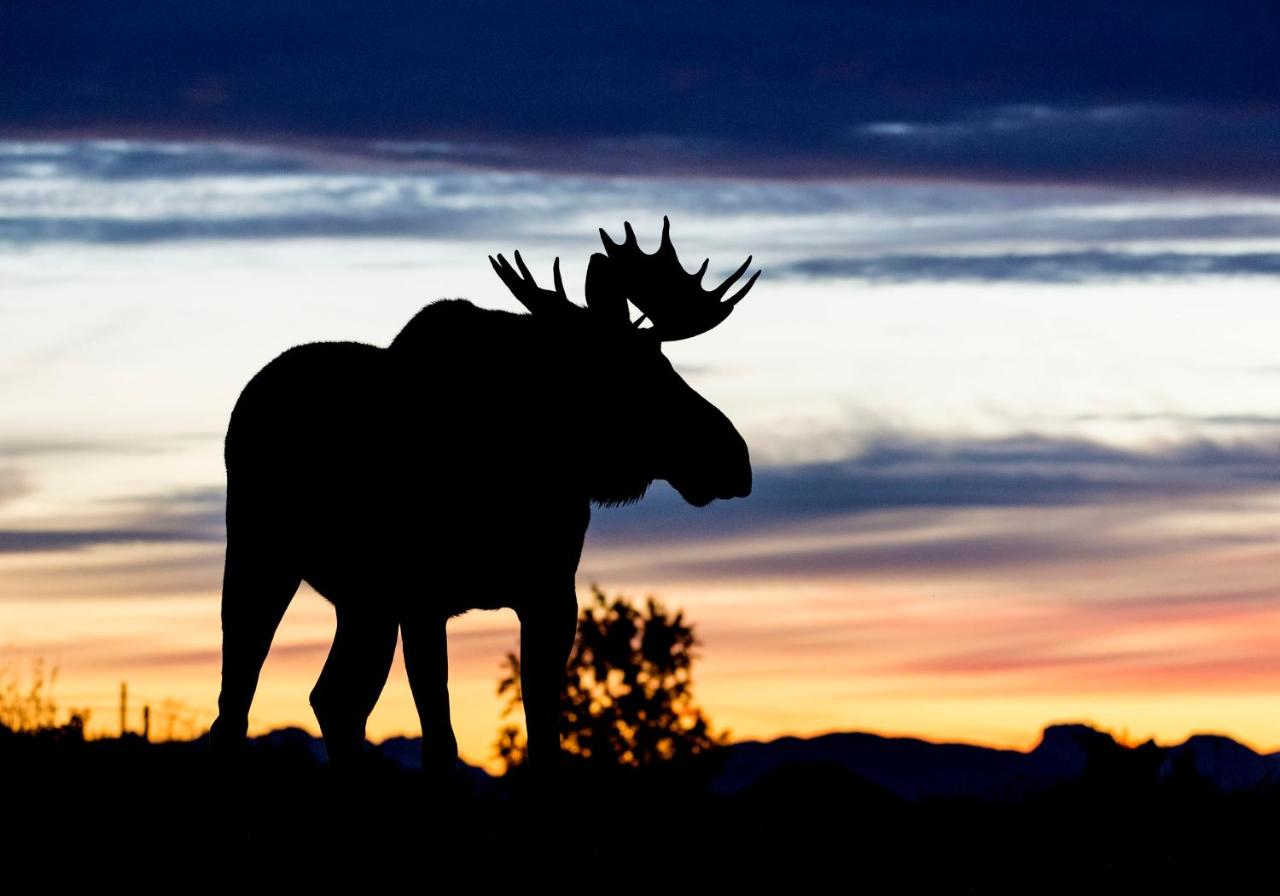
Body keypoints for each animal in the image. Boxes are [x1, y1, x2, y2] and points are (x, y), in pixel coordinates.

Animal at [204, 217, 752, 768]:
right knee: (236, 704)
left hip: (364, 602)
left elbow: (545, 740)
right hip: (262, 557)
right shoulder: (421, 599)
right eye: (640, 374)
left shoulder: (551, 594)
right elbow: (441, 745)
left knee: (335, 699)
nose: (735, 458)